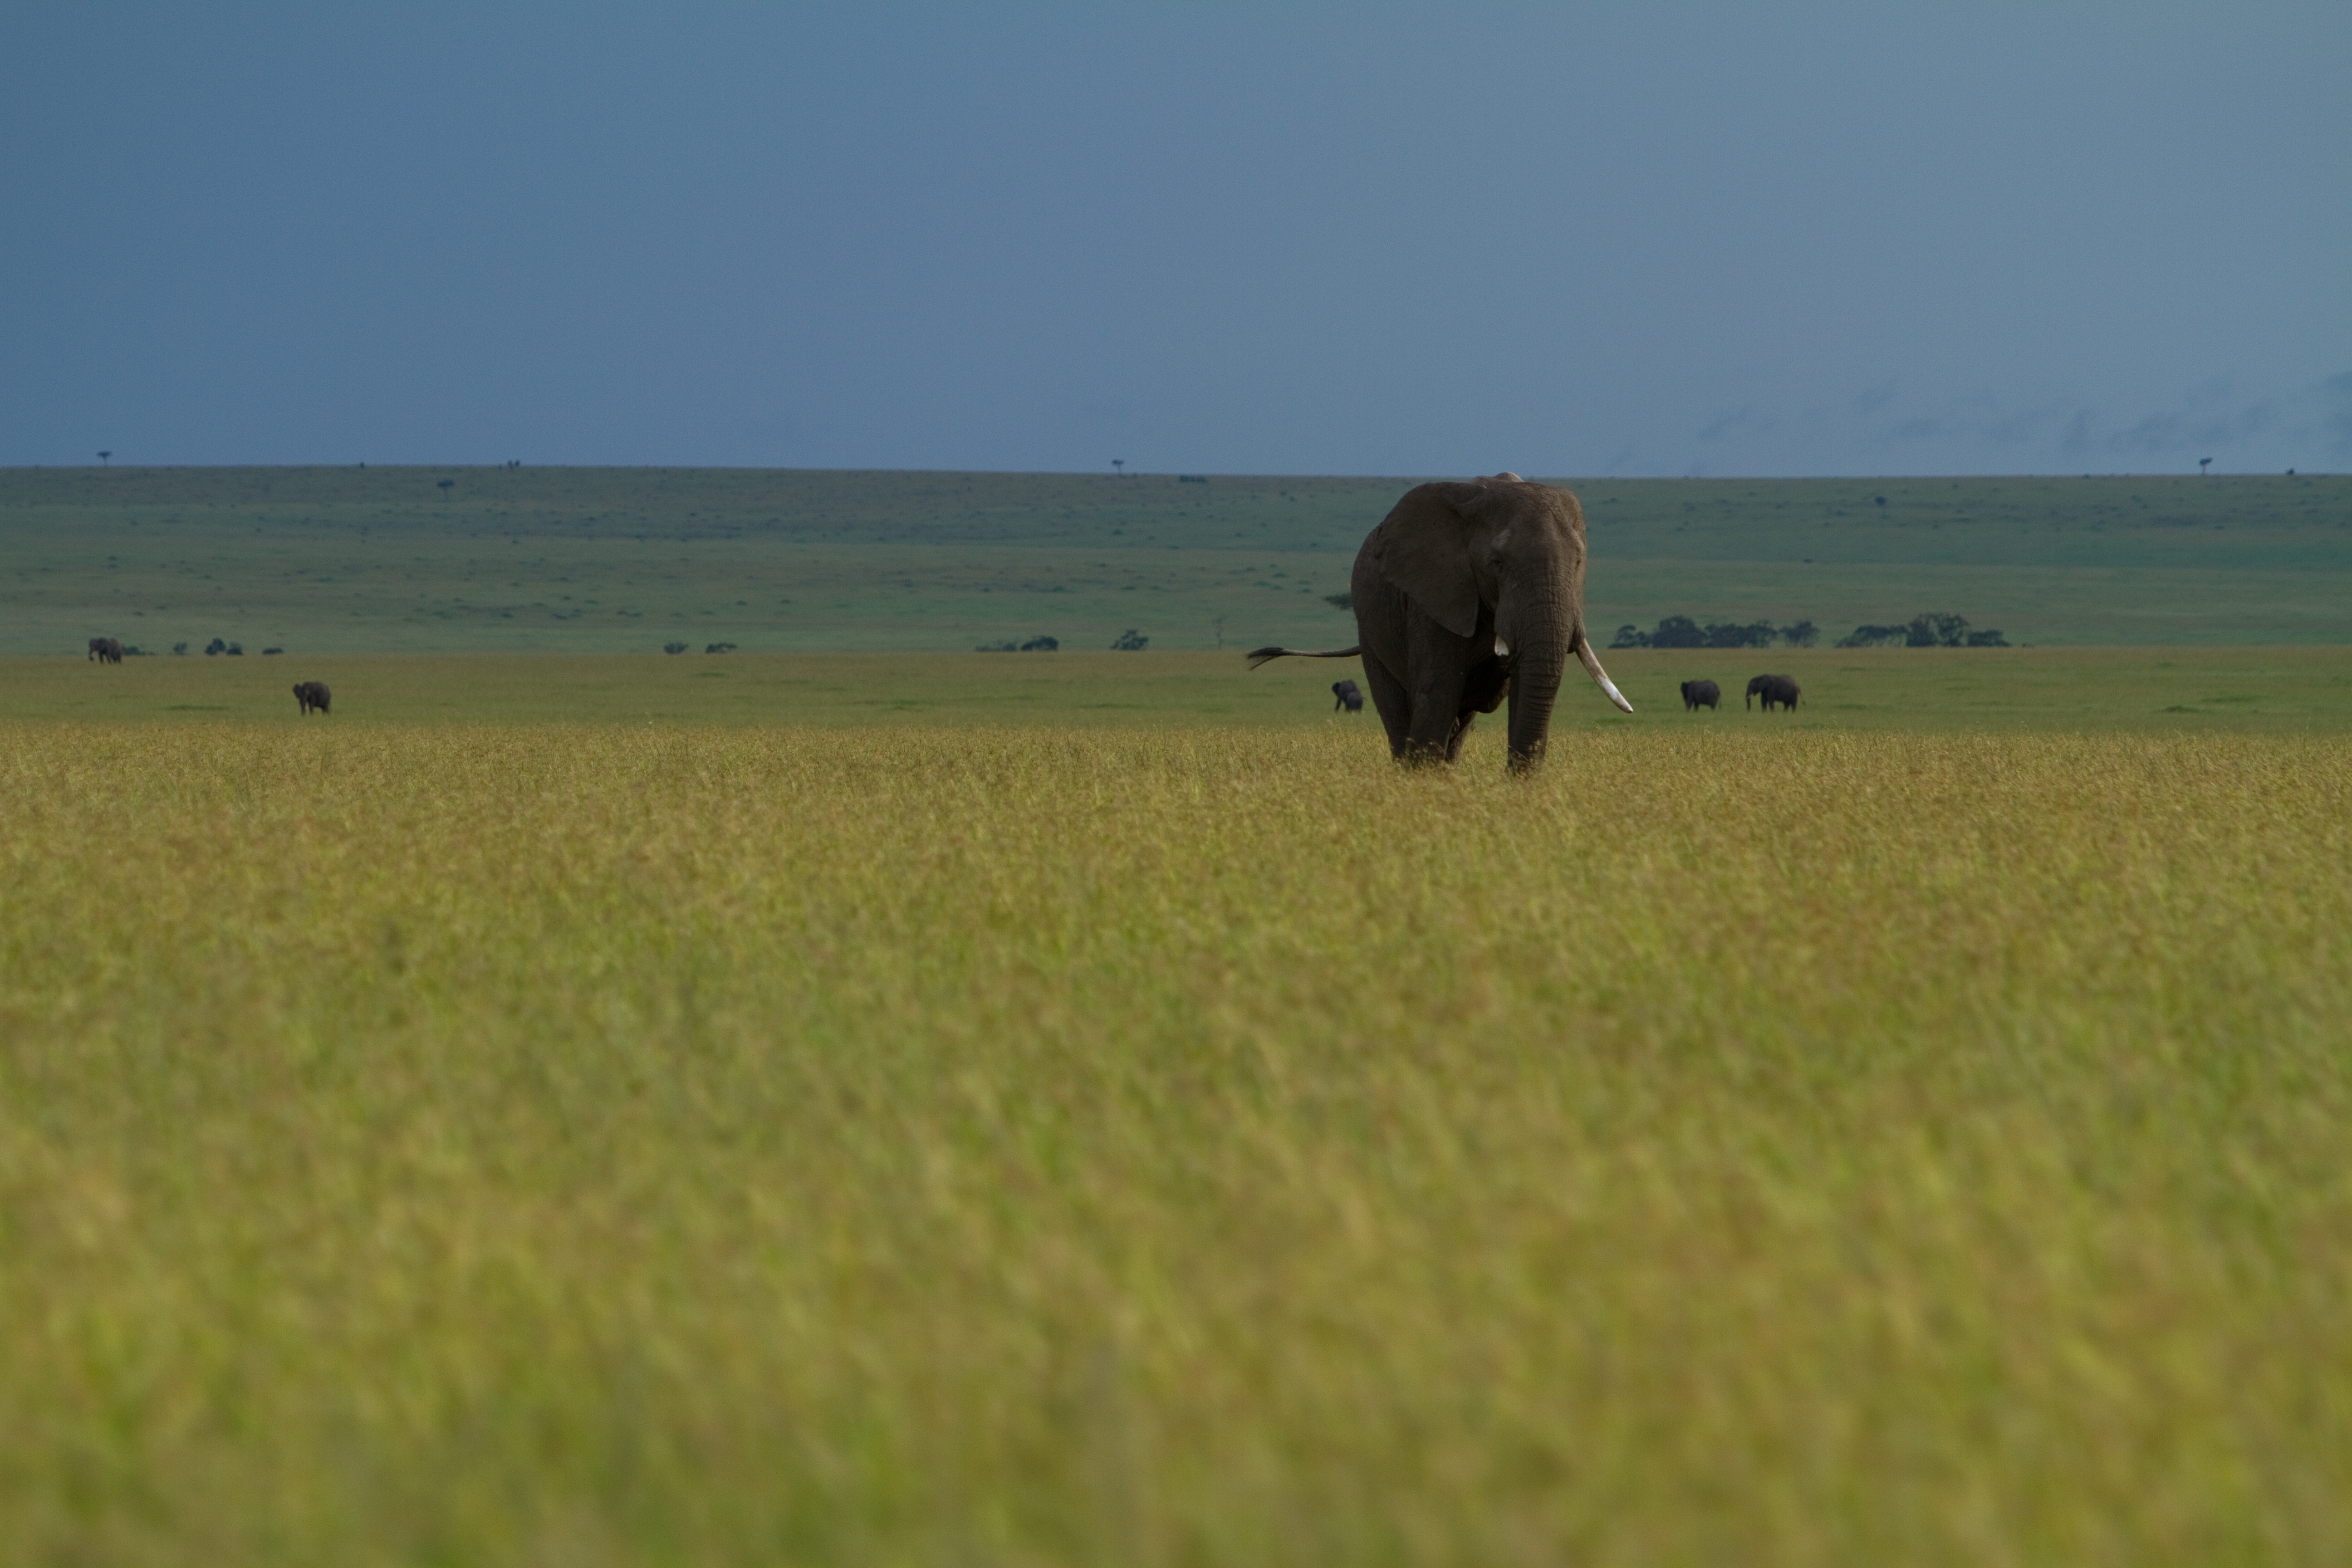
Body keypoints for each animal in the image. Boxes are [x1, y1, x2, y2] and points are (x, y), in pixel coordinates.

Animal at [1248, 472, 1632, 771]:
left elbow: (1526, 685)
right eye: (1497, 563)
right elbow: (1438, 692)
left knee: (1460, 724)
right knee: (1400, 712)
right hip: (1371, 630)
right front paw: (1425, 787)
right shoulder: (1433, 597)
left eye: (1578, 562)